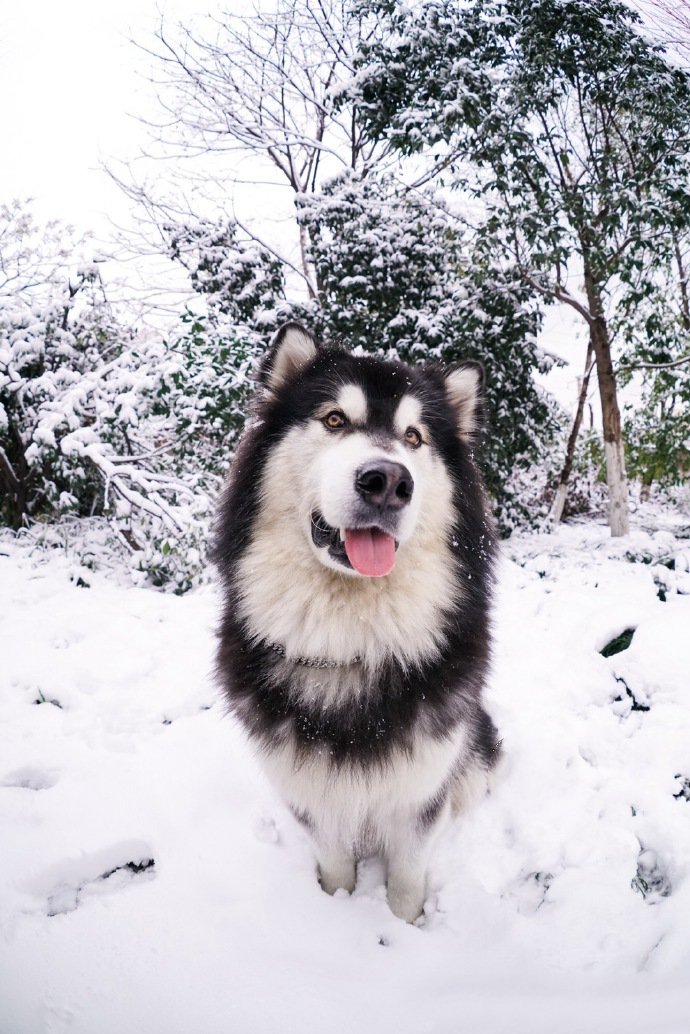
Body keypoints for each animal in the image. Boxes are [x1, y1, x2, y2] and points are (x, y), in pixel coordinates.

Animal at [213, 322, 498, 922]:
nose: (387, 481)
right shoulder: (309, 792)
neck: (354, 645)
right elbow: (335, 863)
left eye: (414, 437)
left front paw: (404, 925)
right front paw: (339, 907)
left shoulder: (421, 793)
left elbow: (408, 879)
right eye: (334, 420)